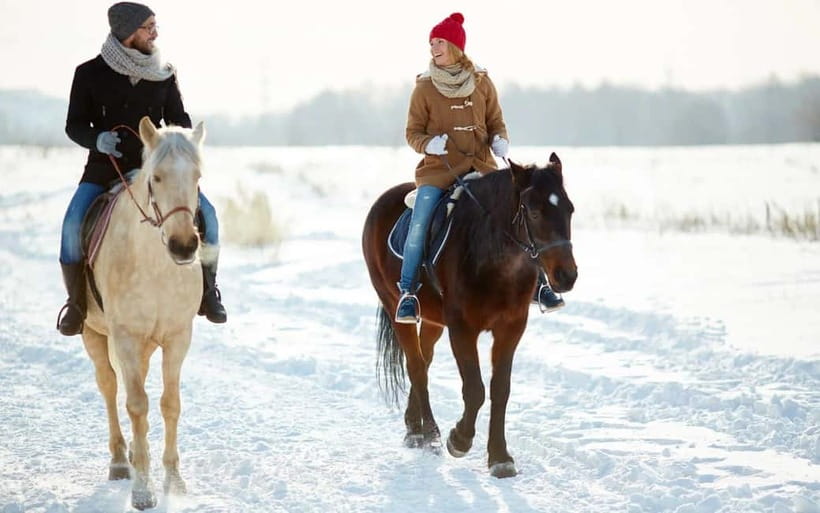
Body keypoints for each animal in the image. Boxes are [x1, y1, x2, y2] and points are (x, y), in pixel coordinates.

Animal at [80, 116, 205, 510]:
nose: (184, 246)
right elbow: (136, 404)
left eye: (197, 176)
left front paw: (174, 481)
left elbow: (170, 404)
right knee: (108, 386)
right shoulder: (125, 337)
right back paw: (122, 461)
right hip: (94, 334)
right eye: (157, 178)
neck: (155, 266)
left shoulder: (178, 337)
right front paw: (142, 491)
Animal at [362, 153, 577, 478]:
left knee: (424, 361)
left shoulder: (511, 329)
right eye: (535, 212)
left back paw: (414, 429)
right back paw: (431, 434)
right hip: (394, 306)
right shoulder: (462, 329)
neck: (493, 258)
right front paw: (459, 440)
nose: (567, 276)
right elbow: (475, 389)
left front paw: (500, 457)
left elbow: (500, 390)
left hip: (434, 321)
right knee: (416, 367)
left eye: (569, 210)